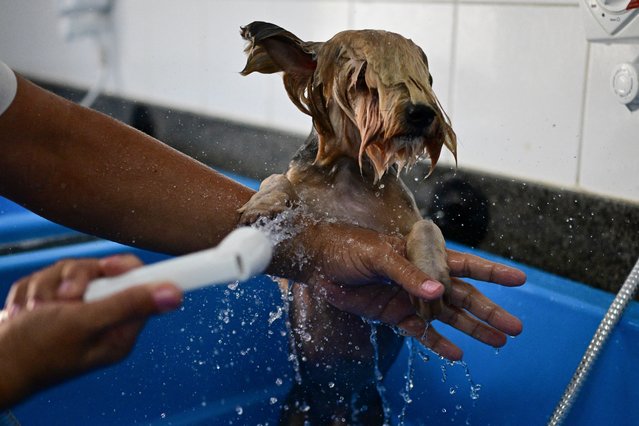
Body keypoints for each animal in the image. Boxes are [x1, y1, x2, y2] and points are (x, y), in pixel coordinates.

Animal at [238, 21, 458, 424]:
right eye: (362, 80)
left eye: (427, 78)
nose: (422, 113)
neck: (349, 173)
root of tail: (335, 404)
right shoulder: (286, 278)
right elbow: (277, 180)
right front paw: (264, 202)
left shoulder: (409, 218)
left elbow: (428, 227)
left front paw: (431, 274)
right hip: (297, 405)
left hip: (370, 407)